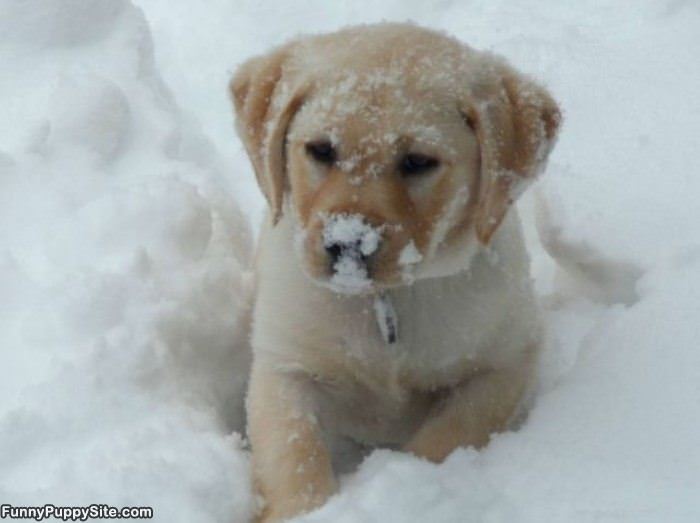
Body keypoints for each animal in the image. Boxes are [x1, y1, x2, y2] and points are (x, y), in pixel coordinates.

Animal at [232, 22, 560, 520]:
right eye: (321, 150)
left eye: (418, 162)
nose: (347, 242)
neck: (386, 301)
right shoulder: (285, 365)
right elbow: (293, 453)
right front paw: (306, 508)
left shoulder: (508, 359)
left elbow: (450, 433)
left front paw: (407, 483)